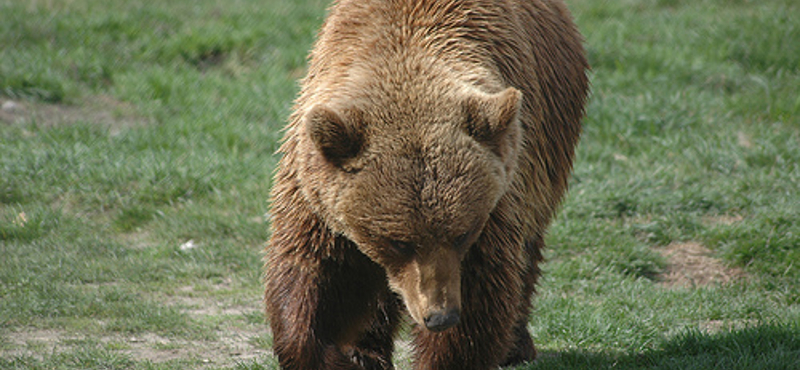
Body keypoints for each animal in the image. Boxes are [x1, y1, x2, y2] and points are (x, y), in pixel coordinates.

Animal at [266, 0, 592, 368]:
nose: (440, 316)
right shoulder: (317, 191)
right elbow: (314, 272)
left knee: (527, 249)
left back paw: (516, 345)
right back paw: (366, 349)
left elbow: (481, 292)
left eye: (463, 233)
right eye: (398, 242)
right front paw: (336, 354)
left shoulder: (496, 200)